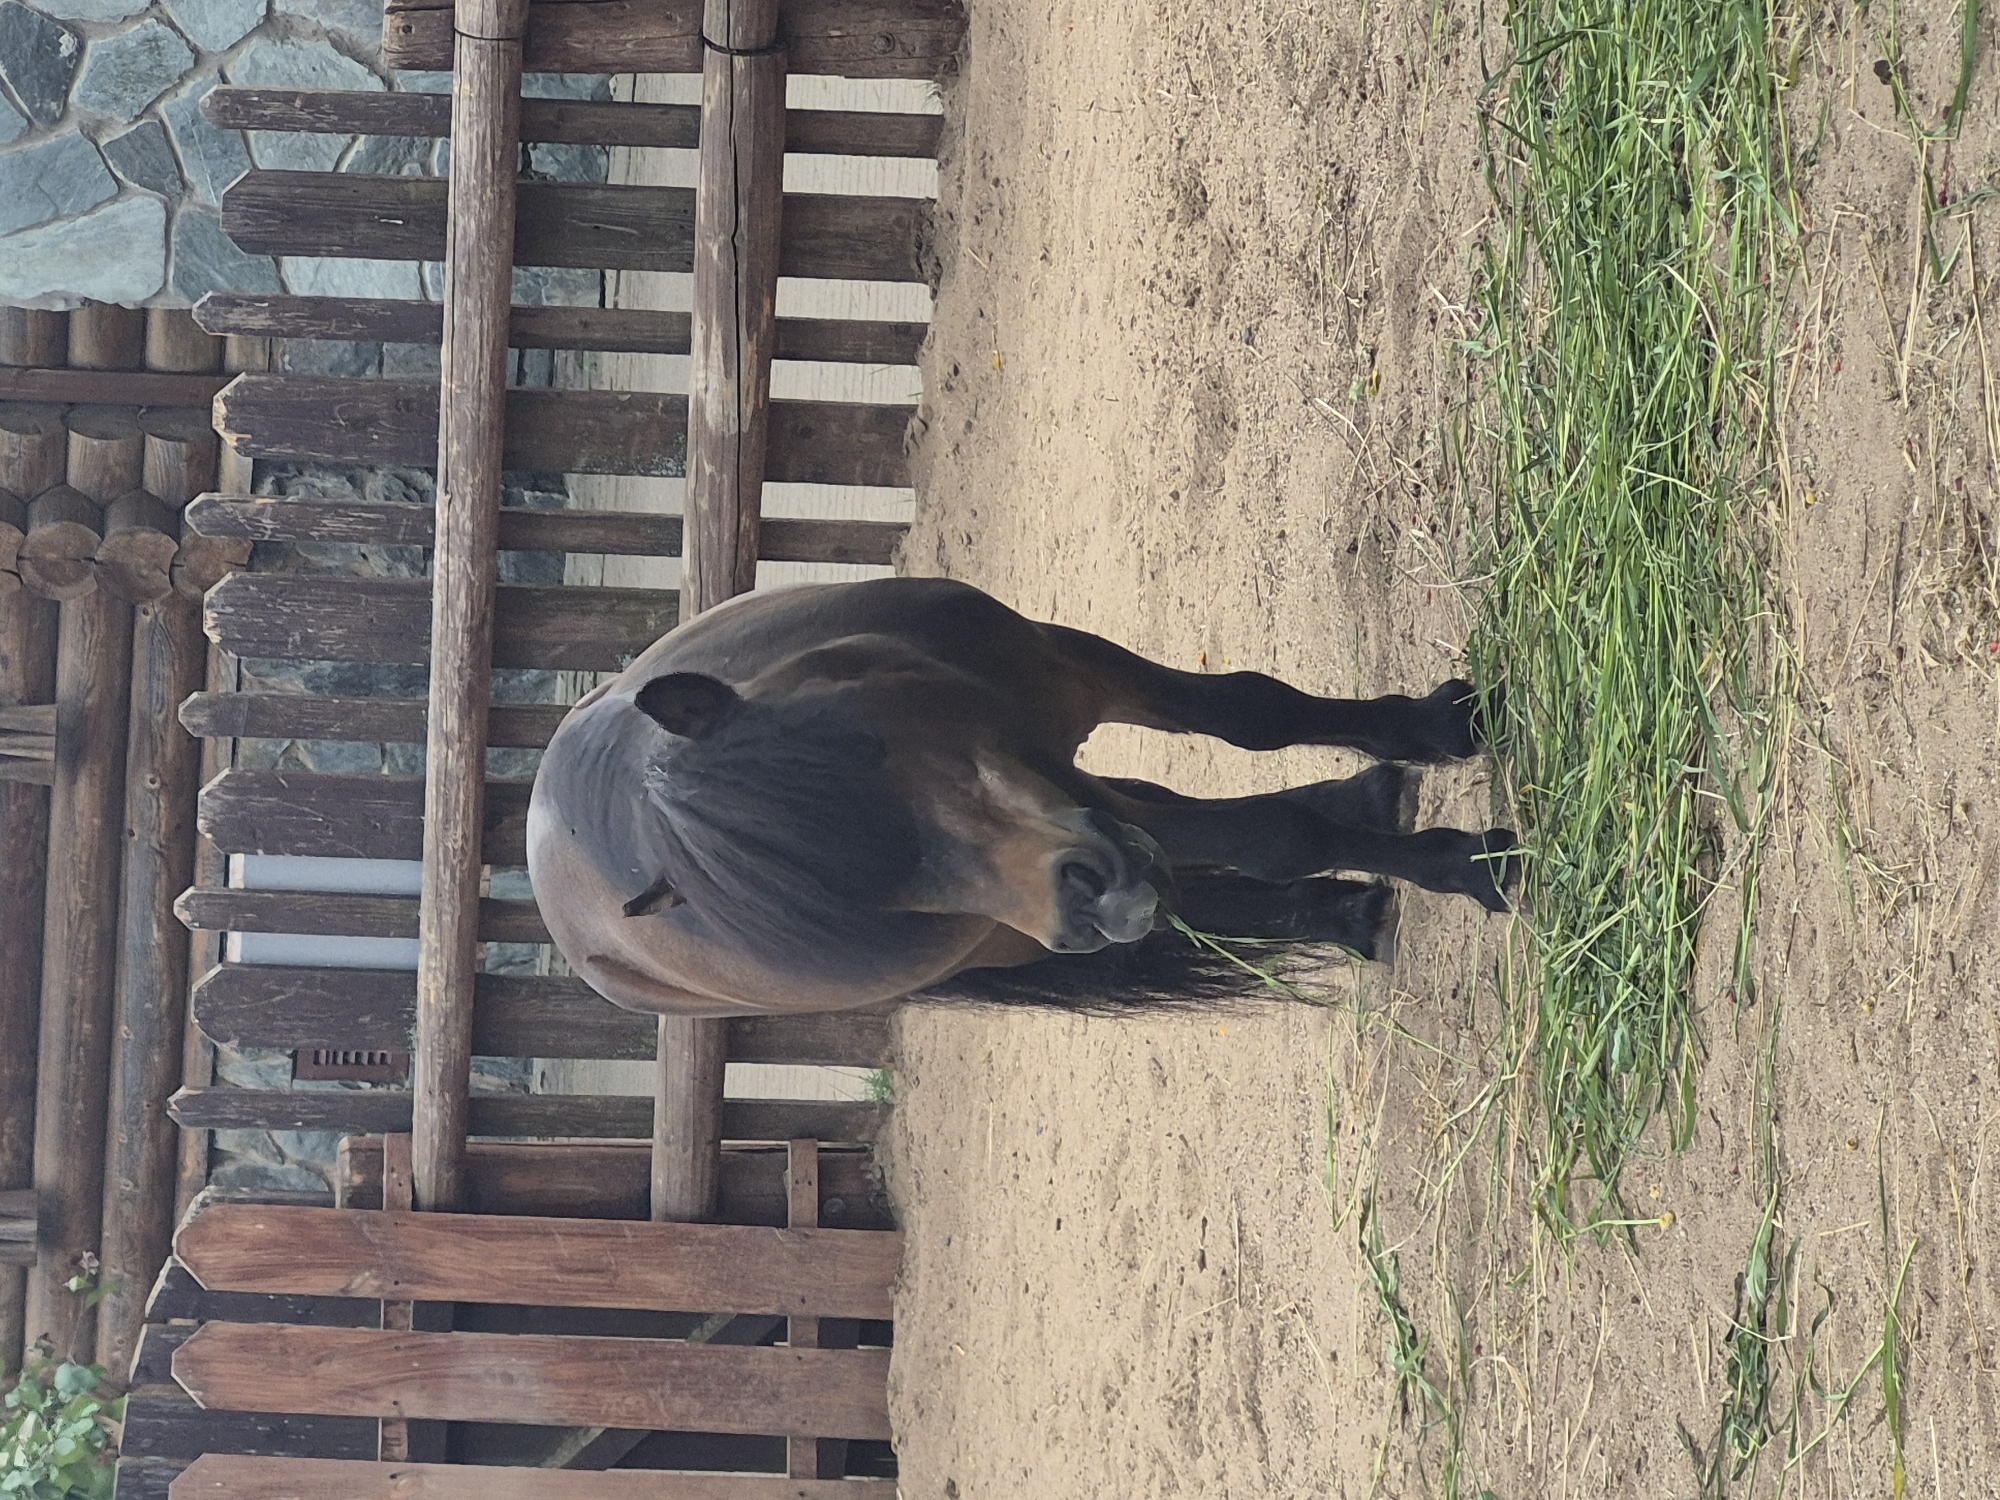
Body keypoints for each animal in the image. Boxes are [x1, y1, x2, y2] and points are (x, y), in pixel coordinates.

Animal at [526, 577, 1518, 1016]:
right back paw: (1350, 910)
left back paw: (1367, 801)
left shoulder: (1070, 673)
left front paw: (1439, 725)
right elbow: (1273, 837)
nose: (1095, 907)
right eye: (883, 914)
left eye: (857, 752)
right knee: (1208, 884)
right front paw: (1469, 865)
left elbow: (1250, 712)